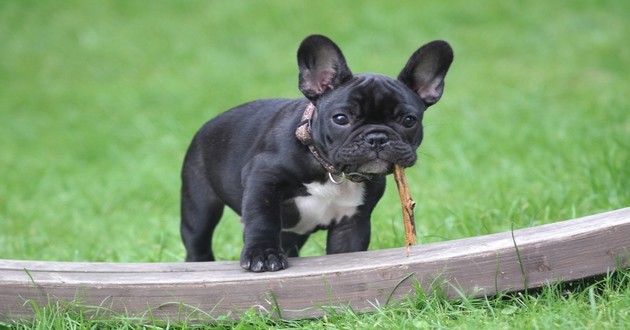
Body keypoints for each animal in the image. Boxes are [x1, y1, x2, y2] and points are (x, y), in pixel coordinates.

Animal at [181, 34, 454, 272]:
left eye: (409, 120)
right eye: (341, 119)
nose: (377, 137)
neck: (329, 169)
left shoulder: (351, 222)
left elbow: (348, 250)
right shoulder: (262, 178)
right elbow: (262, 218)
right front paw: (264, 254)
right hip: (200, 206)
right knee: (197, 241)